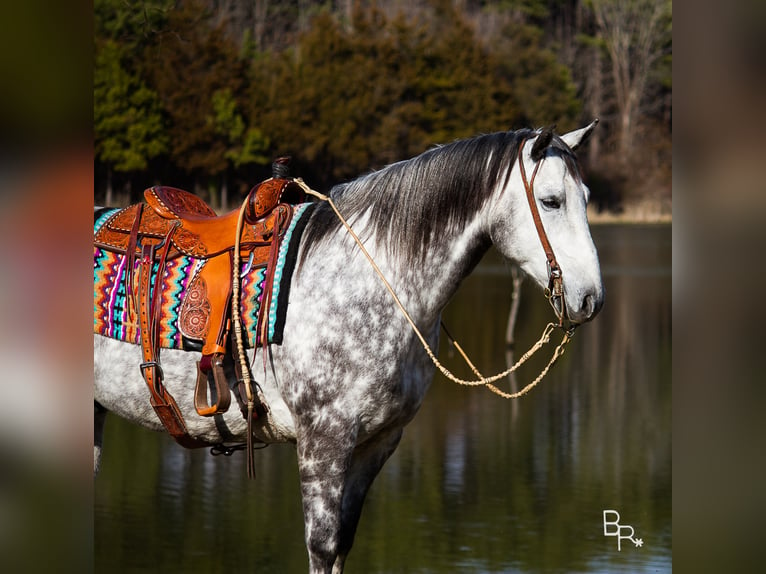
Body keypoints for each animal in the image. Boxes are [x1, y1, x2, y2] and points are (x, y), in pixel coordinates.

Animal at [93, 124, 608, 572]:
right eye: (551, 201)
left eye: (586, 200)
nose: (591, 299)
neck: (371, 279)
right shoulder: (324, 440)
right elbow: (321, 547)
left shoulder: (376, 443)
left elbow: (342, 543)